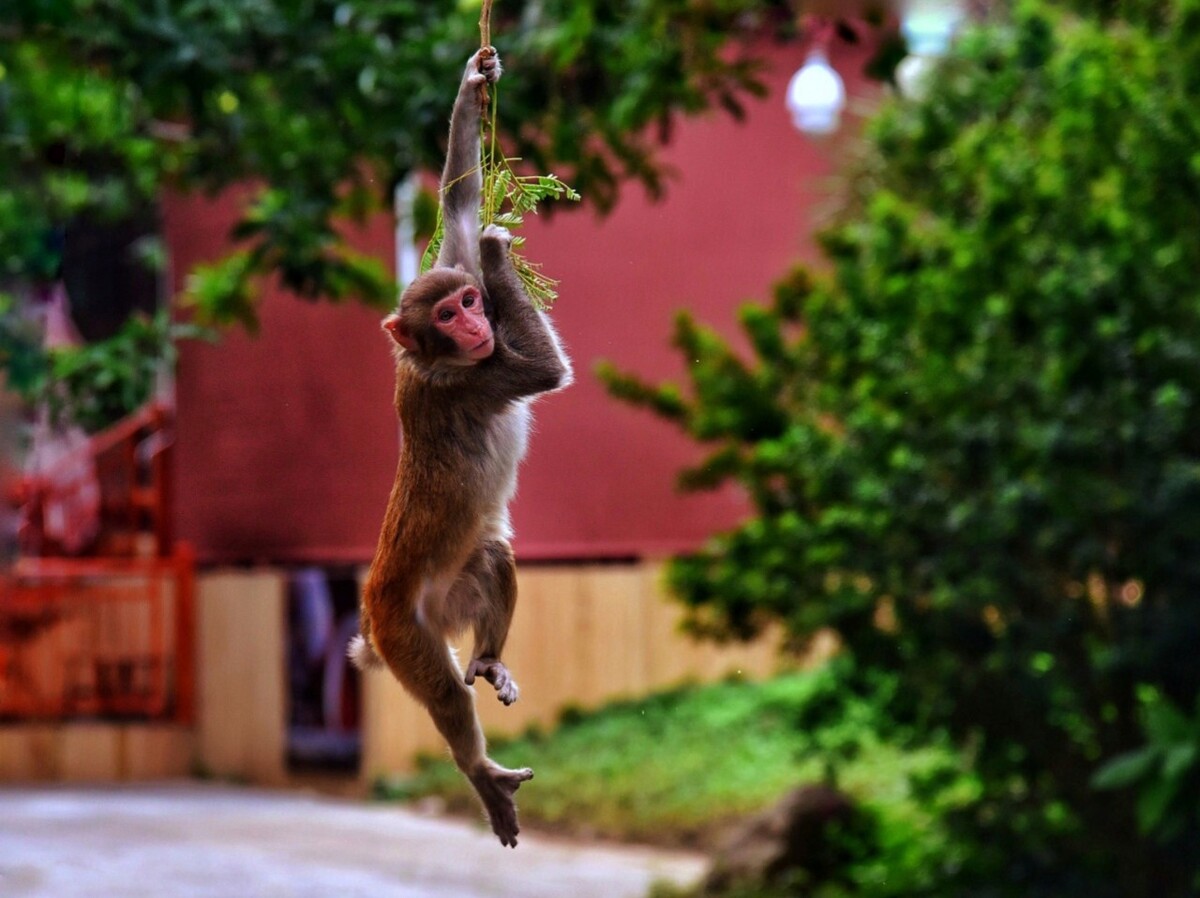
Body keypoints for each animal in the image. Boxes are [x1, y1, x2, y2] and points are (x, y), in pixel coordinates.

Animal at [350, 47, 573, 849]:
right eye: (448, 315)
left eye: (470, 302)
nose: (477, 323)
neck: (431, 360)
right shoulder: (470, 379)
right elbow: (542, 372)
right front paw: (495, 245)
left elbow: (456, 205)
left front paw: (474, 85)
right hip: (405, 632)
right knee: (444, 696)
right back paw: (478, 770)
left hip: (449, 597)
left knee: (493, 556)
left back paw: (488, 659)